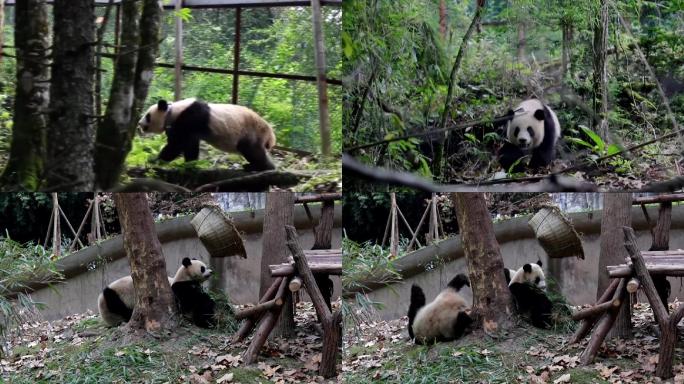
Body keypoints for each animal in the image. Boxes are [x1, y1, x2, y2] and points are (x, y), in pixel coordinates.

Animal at [138, 99, 276, 171]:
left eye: (147, 115)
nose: (139, 123)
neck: (172, 111)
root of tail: (270, 133)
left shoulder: (190, 118)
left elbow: (177, 145)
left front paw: (153, 160)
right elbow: (189, 145)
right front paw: (190, 164)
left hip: (249, 132)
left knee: (251, 150)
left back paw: (261, 167)